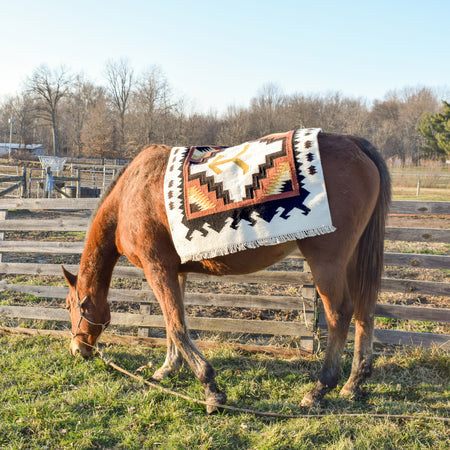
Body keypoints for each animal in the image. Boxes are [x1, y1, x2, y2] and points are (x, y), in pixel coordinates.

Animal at [62, 131, 390, 412]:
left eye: (68, 306)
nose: (77, 349)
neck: (130, 194)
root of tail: (354, 144)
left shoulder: (157, 269)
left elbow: (177, 326)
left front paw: (210, 387)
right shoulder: (175, 271)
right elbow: (172, 323)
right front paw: (167, 369)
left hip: (328, 261)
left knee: (340, 314)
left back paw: (320, 389)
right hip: (354, 259)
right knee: (365, 310)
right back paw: (354, 383)